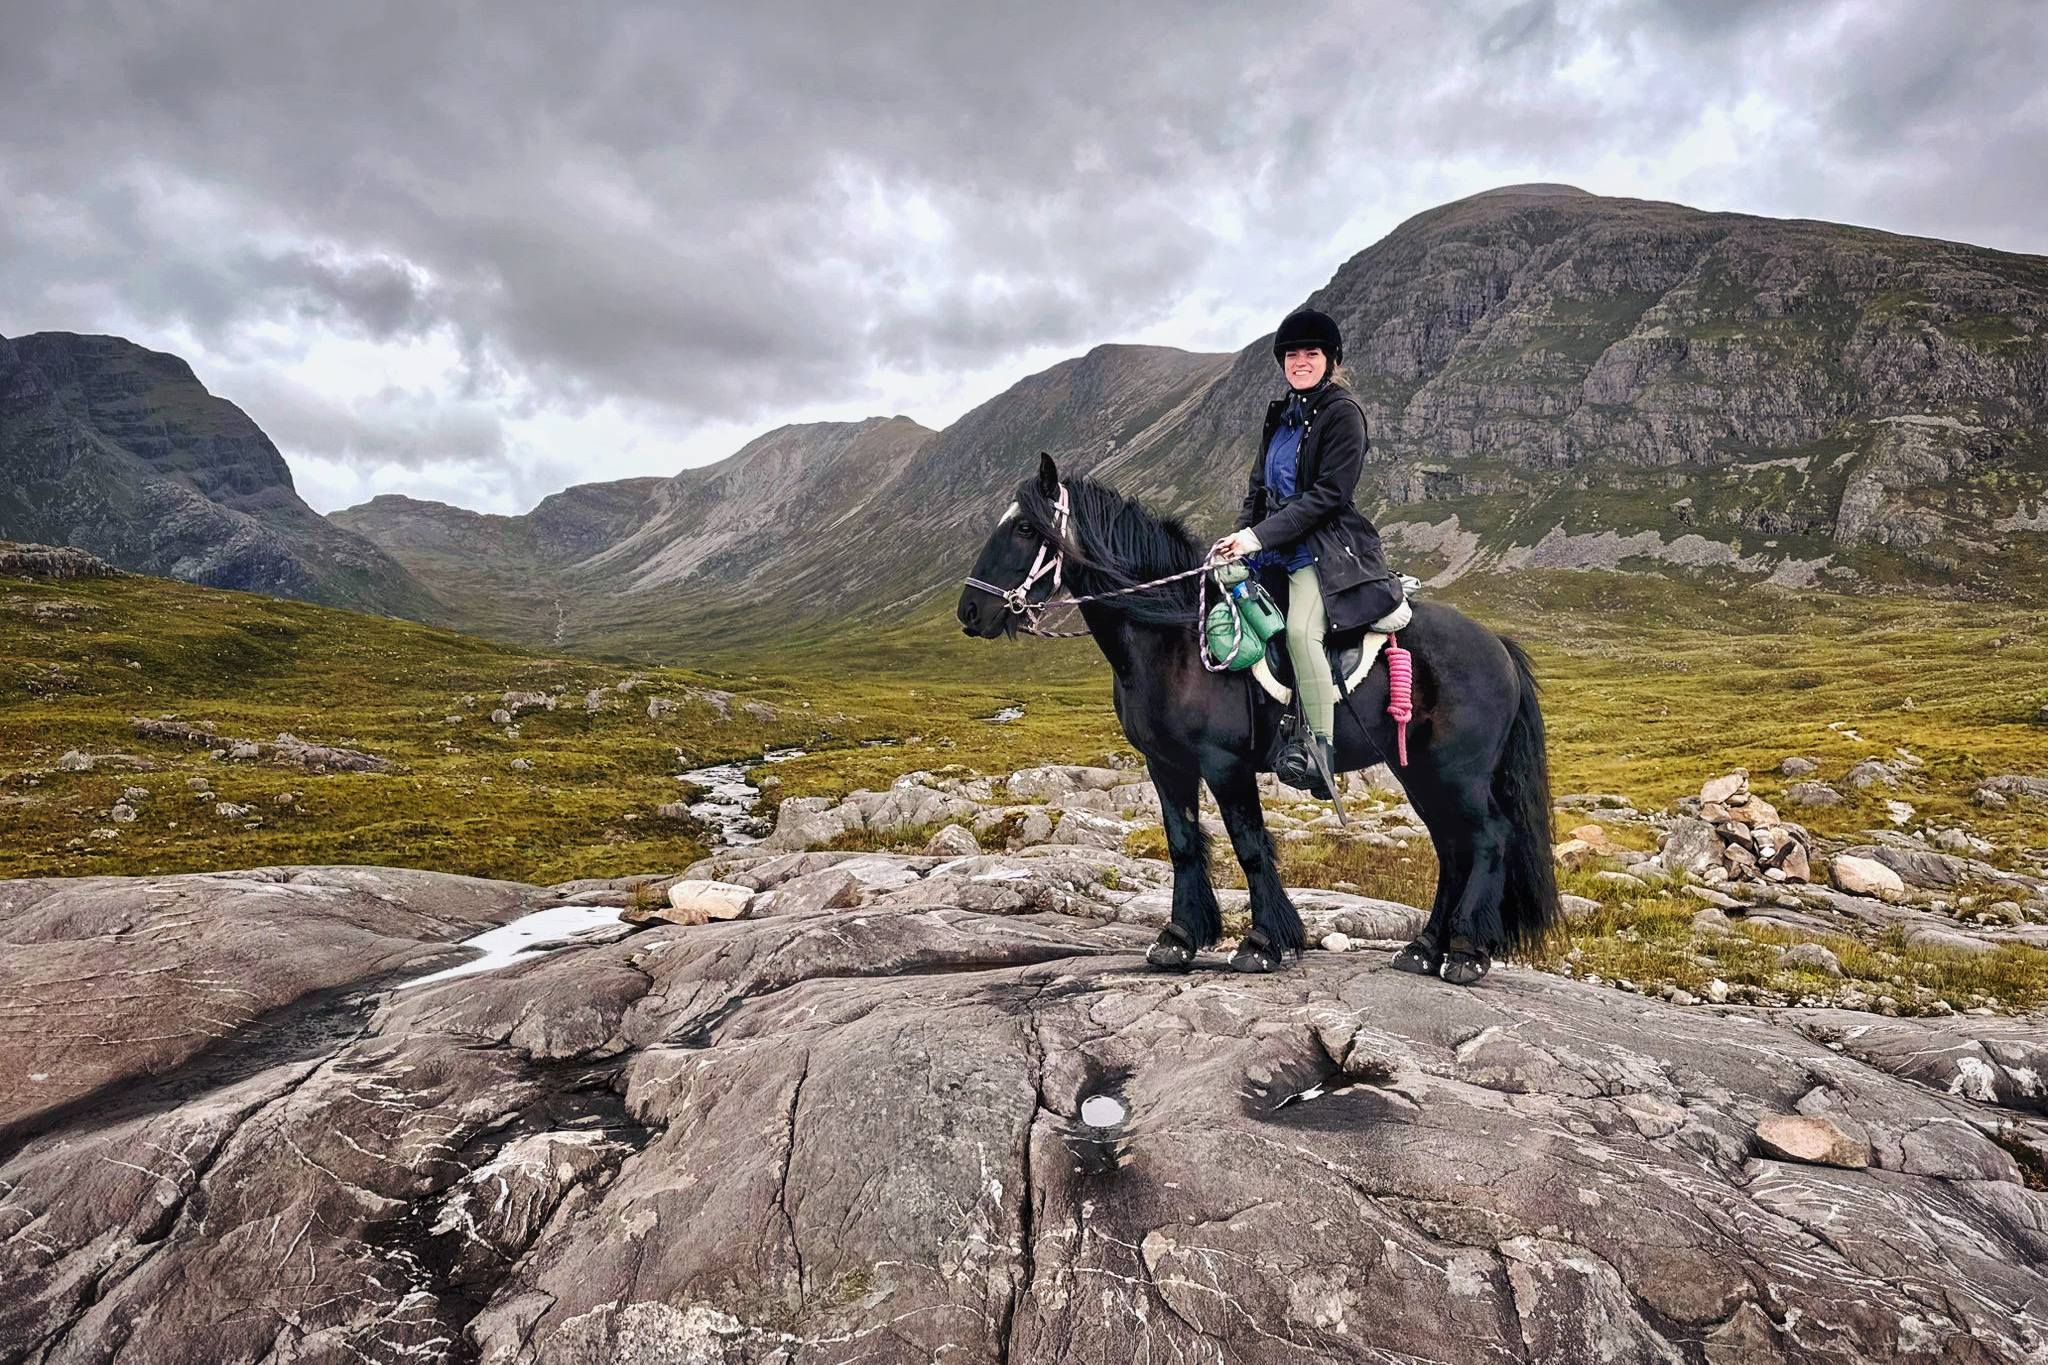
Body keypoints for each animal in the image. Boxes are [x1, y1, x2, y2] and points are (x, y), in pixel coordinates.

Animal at [957, 454, 1559, 984]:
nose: (969, 612)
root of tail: (1498, 645)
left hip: (1459, 772)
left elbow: (1249, 843)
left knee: (1489, 838)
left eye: (1026, 528)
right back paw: (1424, 948)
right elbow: (1183, 842)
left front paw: (1264, 943)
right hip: (1419, 772)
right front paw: (1179, 938)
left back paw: (1466, 952)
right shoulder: (1165, 763)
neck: (1174, 637)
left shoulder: (1224, 764)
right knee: (1452, 848)